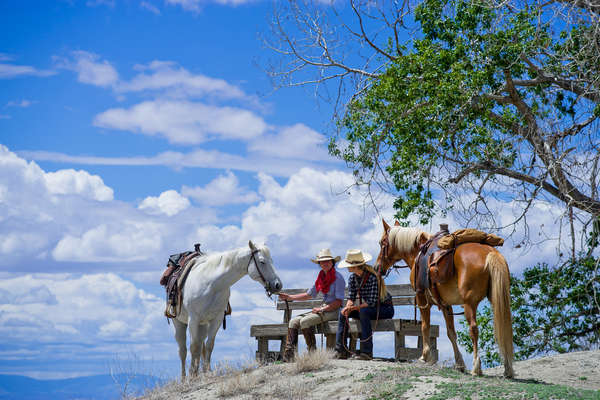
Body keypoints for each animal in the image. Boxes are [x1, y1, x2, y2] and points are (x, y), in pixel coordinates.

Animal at [172, 241, 282, 378]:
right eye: (262, 261)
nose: (278, 285)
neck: (212, 285)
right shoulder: (193, 319)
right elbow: (194, 347)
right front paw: (192, 374)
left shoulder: (217, 319)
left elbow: (209, 345)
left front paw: (207, 372)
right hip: (179, 323)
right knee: (183, 350)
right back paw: (183, 378)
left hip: (203, 325)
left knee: (201, 346)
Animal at [378, 219, 512, 378]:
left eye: (382, 243)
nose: (378, 267)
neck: (418, 252)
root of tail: (490, 252)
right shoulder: (446, 304)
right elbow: (451, 333)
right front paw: (459, 363)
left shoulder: (422, 298)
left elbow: (425, 326)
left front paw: (425, 357)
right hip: (498, 299)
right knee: (503, 326)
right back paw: (508, 368)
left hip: (469, 304)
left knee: (474, 329)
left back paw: (476, 367)